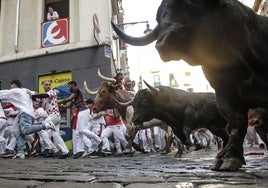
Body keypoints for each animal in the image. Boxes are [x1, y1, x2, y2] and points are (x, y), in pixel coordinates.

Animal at [112, 0, 268, 170]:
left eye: (145, 101)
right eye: (134, 103)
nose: (135, 120)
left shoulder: (191, 115)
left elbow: (187, 129)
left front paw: (195, 146)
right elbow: (184, 135)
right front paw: (199, 148)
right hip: (215, 126)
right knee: (225, 136)